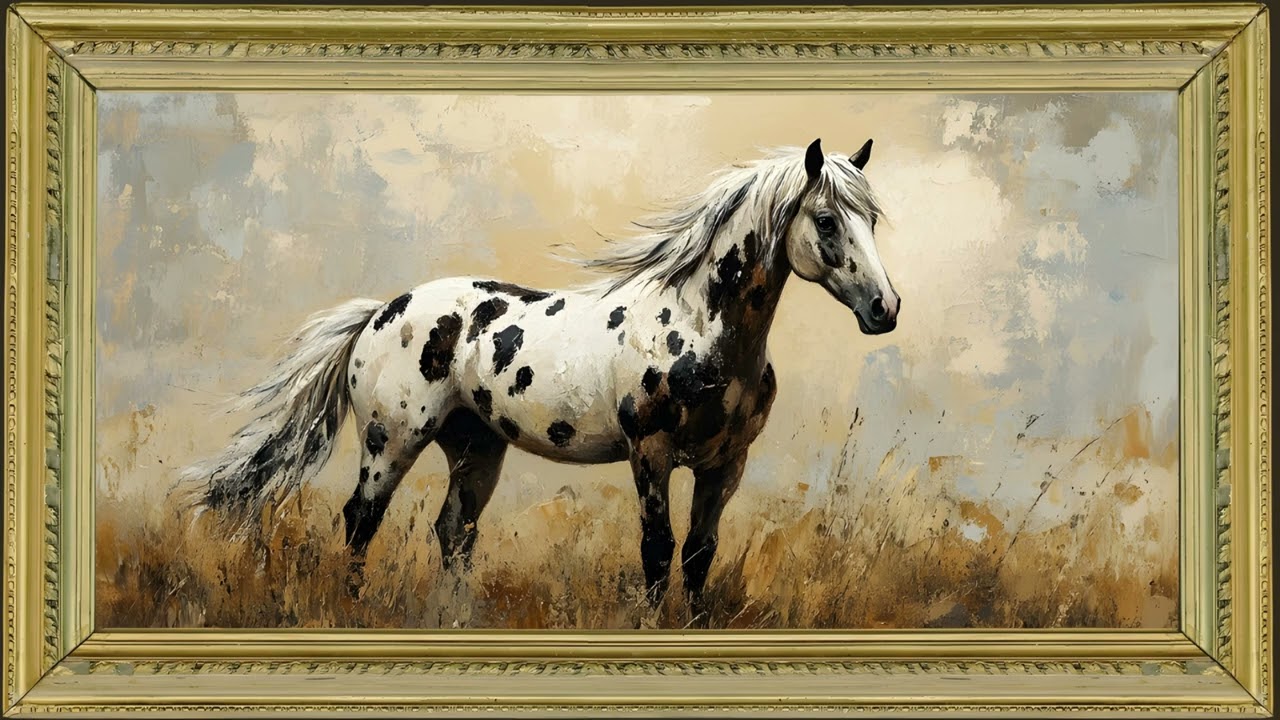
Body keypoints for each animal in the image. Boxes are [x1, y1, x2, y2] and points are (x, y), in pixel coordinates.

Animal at [184, 138, 900, 619]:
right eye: (827, 221)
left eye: (871, 220)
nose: (884, 309)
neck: (699, 329)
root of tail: (381, 314)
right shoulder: (651, 455)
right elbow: (658, 548)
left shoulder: (726, 462)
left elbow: (699, 554)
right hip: (392, 441)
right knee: (362, 517)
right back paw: (356, 608)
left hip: (476, 446)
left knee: (454, 531)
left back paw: (457, 619)